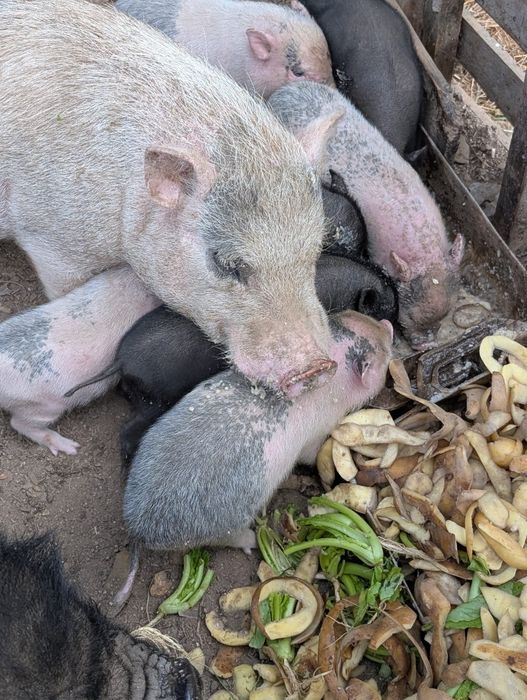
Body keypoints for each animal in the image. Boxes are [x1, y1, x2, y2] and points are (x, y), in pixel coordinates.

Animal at [123, 310, 392, 556]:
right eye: (381, 351)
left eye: (356, 315)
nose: (388, 324)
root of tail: (139, 531)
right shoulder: (318, 430)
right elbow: (309, 456)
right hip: (224, 526)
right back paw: (253, 541)